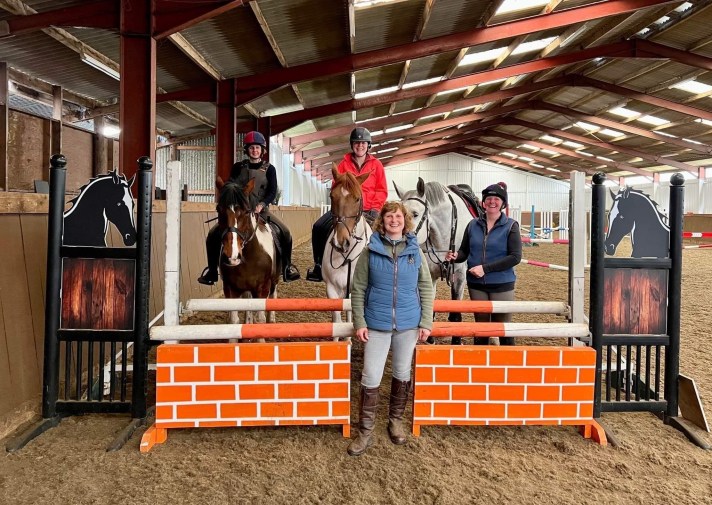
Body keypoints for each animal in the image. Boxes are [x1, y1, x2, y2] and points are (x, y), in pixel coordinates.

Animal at [217, 177, 279, 330]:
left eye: (245, 212)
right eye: (218, 209)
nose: (232, 256)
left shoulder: (263, 288)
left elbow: (261, 320)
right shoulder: (230, 289)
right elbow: (234, 321)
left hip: (274, 280)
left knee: (274, 293)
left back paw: (272, 319)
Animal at [394, 178, 478, 344]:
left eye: (415, 214)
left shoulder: (459, 275)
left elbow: (456, 310)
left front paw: (456, 340)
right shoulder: (430, 274)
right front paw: (430, 337)